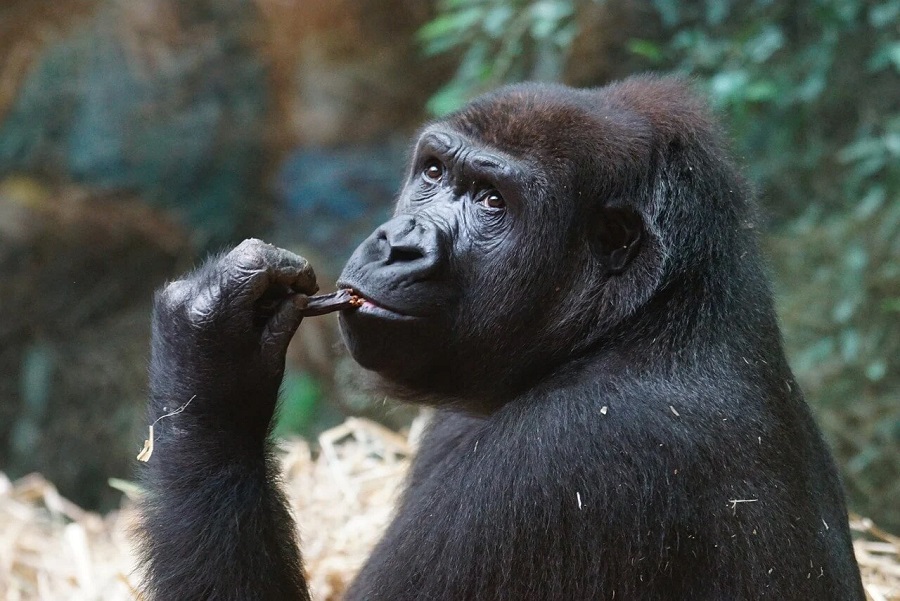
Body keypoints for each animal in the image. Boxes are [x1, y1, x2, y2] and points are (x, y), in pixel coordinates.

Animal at [139, 76, 864, 600]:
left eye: (492, 202)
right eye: (434, 173)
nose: (396, 244)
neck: (651, 315)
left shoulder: (574, 454)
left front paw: (210, 362)